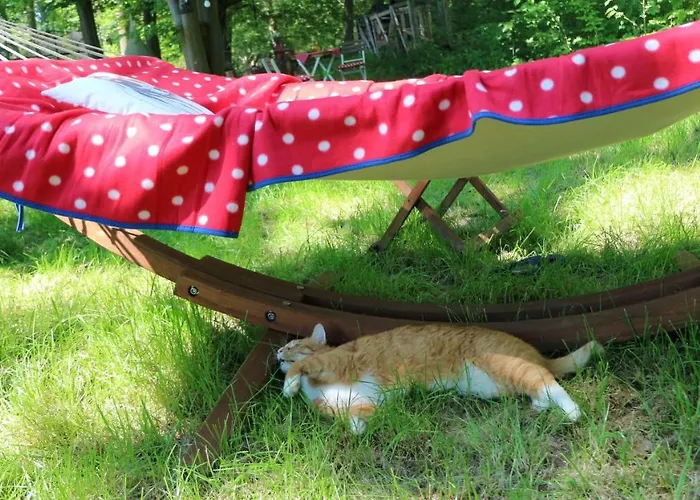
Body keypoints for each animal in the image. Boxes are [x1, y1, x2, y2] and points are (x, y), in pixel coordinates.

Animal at [277, 323, 602, 435]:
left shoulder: (331, 362)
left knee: (550, 383)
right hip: (499, 385)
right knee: (539, 389)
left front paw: (289, 386)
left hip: (511, 367)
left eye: (293, 345)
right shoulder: (365, 403)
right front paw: (358, 428)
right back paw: (538, 407)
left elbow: (300, 368)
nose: (278, 351)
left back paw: (571, 412)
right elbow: (354, 419)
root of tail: (537, 354)